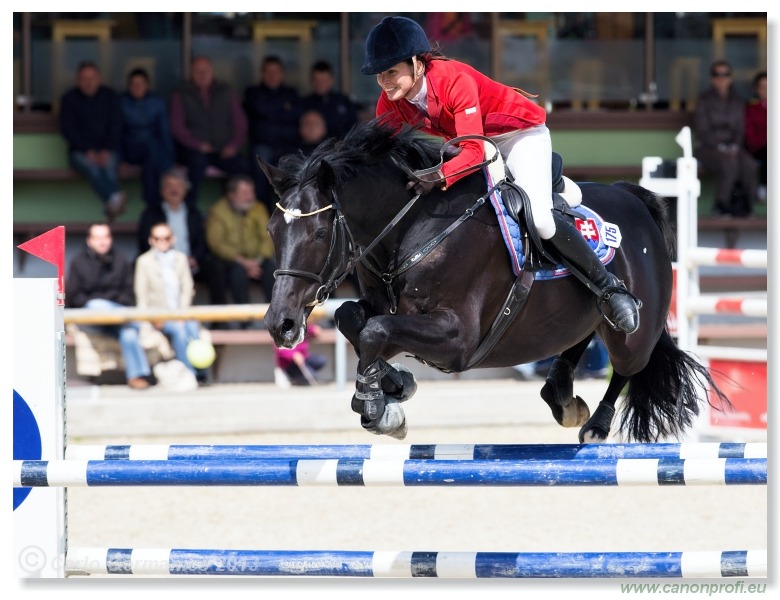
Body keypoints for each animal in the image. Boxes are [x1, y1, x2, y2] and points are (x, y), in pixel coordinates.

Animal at [262, 119, 732, 442]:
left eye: (318, 233)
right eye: (271, 230)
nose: (280, 324)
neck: (412, 228)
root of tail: (632, 196)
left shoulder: (458, 339)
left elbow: (375, 330)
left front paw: (377, 407)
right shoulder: (384, 307)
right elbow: (354, 321)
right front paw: (396, 386)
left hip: (633, 334)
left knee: (628, 363)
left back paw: (596, 422)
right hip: (577, 316)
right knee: (578, 338)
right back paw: (563, 397)